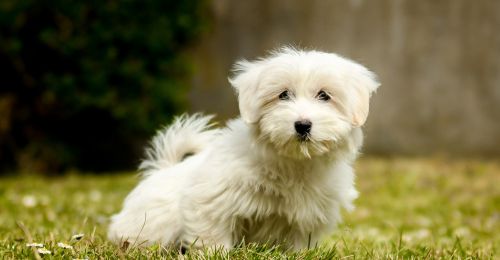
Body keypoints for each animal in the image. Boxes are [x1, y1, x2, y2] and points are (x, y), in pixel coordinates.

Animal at [108, 46, 378, 250]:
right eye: (283, 95)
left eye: (324, 96)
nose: (302, 125)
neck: (294, 162)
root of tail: (160, 170)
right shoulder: (210, 198)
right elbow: (211, 232)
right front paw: (216, 252)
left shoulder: (309, 215)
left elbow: (299, 242)